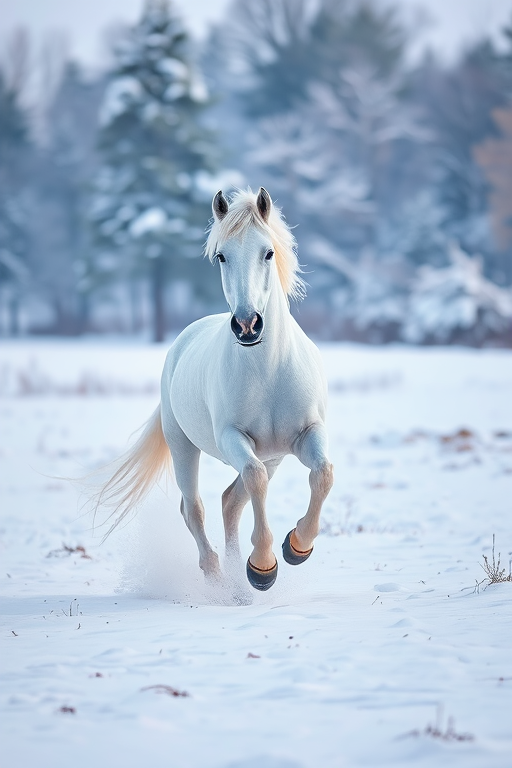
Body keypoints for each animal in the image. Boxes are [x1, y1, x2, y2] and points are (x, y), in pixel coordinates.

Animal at [96, 187, 333, 593]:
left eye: (268, 252)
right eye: (222, 255)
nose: (247, 325)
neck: (269, 371)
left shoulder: (306, 434)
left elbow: (323, 474)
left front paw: (296, 547)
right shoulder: (232, 438)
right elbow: (253, 480)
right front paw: (263, 567)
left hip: (273, 456)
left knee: (230, 501)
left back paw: (239, 583)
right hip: (183, 447)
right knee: (194, 507)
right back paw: (219, 576)